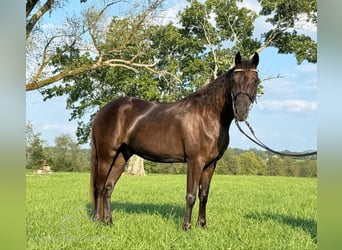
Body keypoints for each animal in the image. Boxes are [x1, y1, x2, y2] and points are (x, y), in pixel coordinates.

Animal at [91, 51, 260, 230]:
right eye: (234, 80)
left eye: (255, 81)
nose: (241, 112)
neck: (207, 116)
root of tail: (102, 110)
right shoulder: (195, 161)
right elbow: (191, 195)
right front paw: (186, 227)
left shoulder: (210, 164)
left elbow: (204, 195)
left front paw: (202, 225)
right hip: (106, 156)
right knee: (99, 187)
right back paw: (96, 219)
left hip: (121, 157)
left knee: (108, 188)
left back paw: (108, 222)